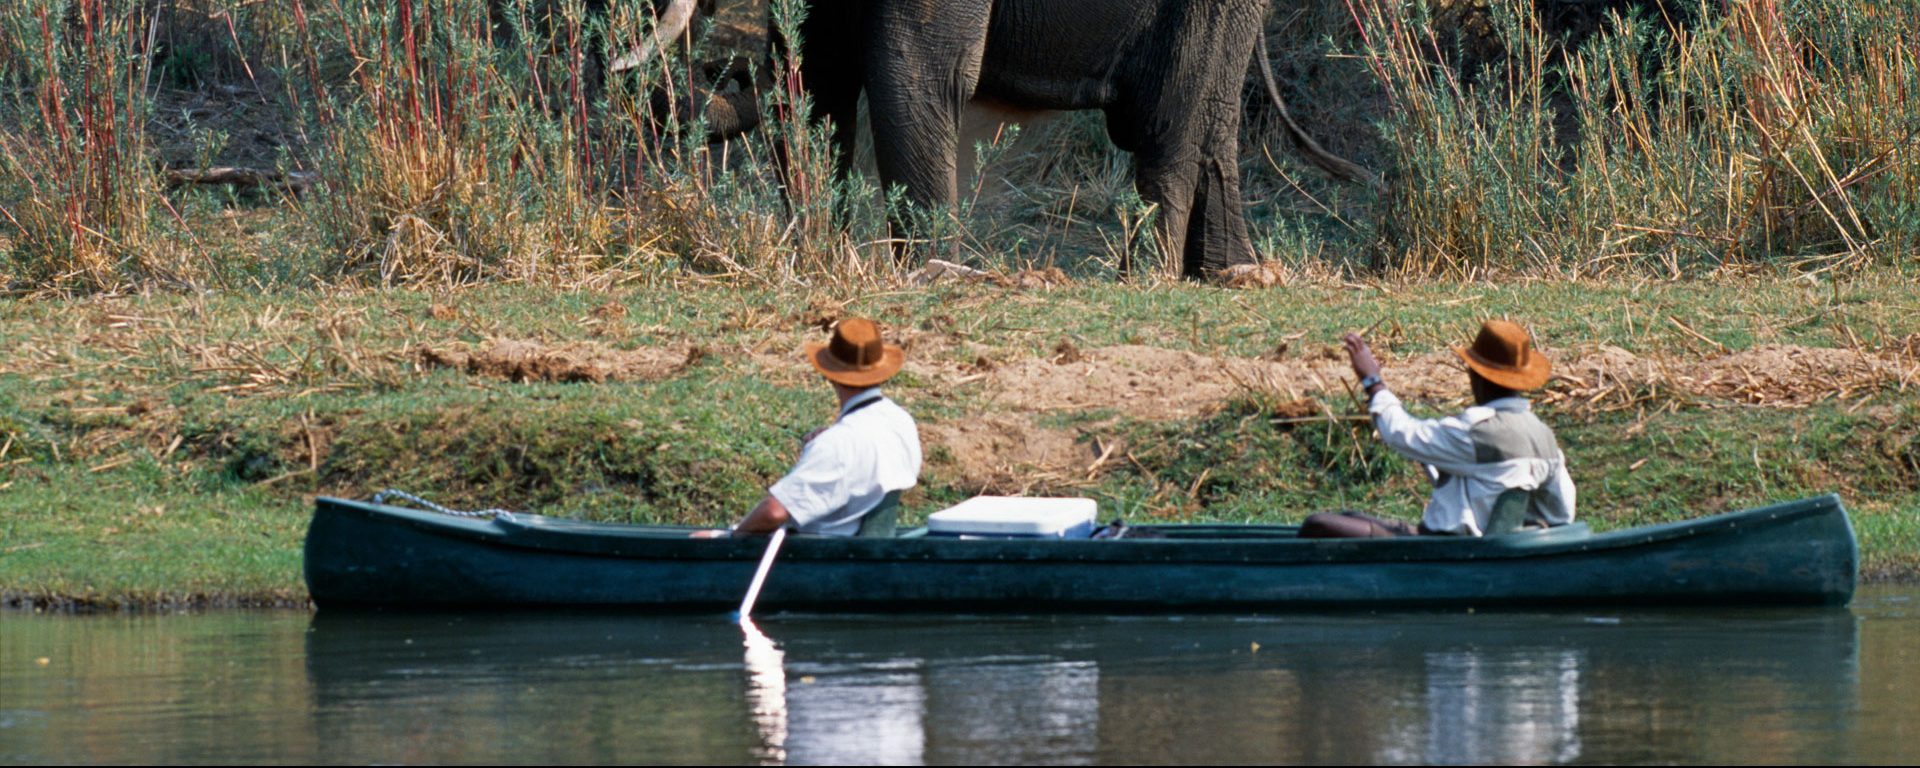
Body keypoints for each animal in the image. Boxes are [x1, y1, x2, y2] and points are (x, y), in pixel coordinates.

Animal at [614, 0, 1367, 278]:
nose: (723, 67)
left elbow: (926, 69)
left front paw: (930, 277)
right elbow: (818, 75)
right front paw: (822, 261)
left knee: (1168, 128)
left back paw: (1149, 279)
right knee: (1208, 125)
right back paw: (1232, 276)